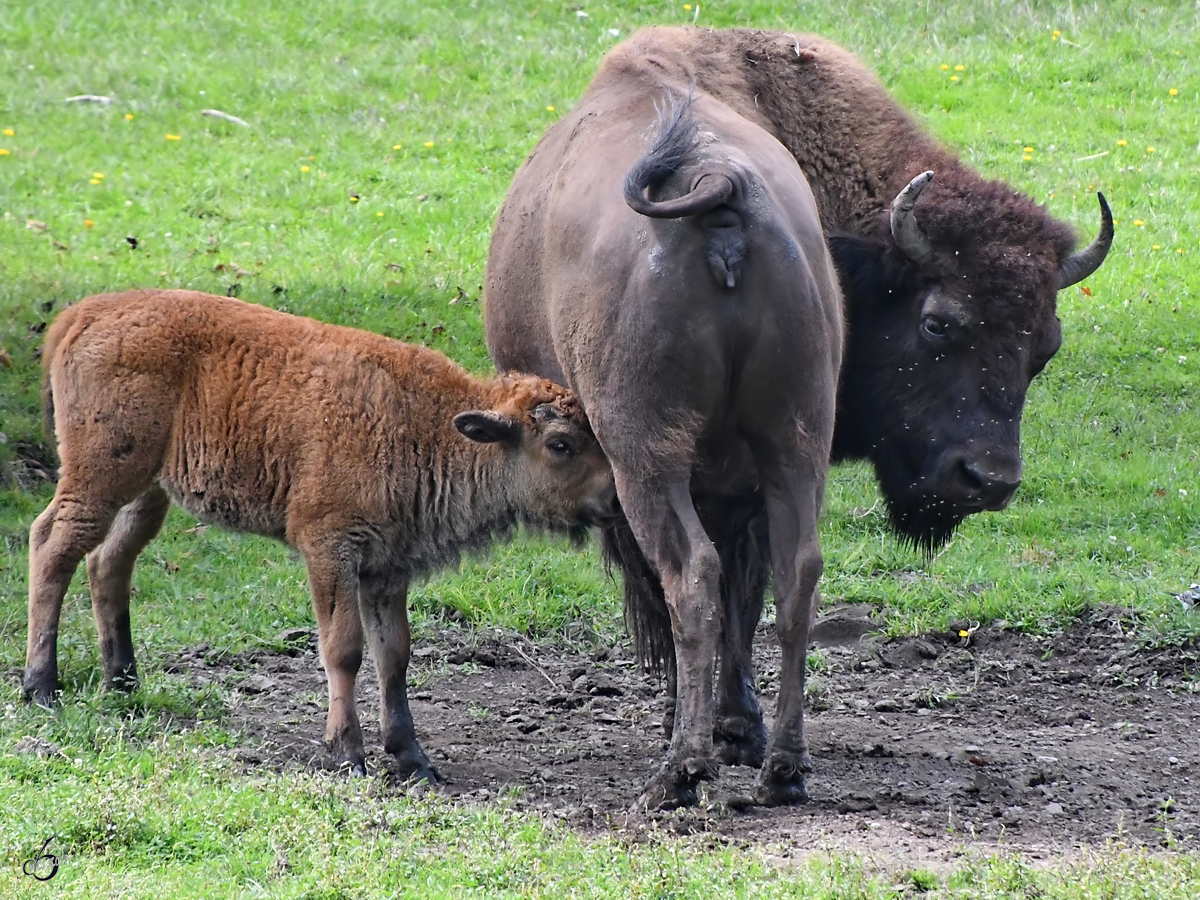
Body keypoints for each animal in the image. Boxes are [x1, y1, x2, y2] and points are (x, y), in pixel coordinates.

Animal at [24, 290, 614, 782]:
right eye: (560, 444)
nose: (614, 497)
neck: (431, 426)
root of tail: (84, 314)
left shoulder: (387, 567)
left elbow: (394, 654)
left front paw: (414, 759)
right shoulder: (330, 548)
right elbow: (344, 648)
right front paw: (348, 754)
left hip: (149, 489)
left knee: (109, 560)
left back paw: (123, 683)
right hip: (101, 476)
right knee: (52, 544)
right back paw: (41, 688)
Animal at [482, 26, 1108, 811]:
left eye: (1041, 347)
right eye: (938, 323)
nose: (988, 479)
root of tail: (719, 188)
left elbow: (685, 593)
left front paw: (695, 727)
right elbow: (747, 594)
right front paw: (738, 728)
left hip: (647, 458)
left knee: (690, 576)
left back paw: (679, 772)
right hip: (794, 440)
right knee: (798, 576)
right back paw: (782, 765)